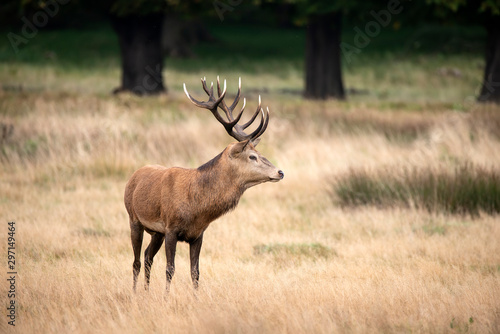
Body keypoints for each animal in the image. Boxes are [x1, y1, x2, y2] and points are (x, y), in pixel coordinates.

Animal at [123, 76, 284, 292]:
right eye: (252, 156)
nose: (280, 172)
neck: (197, 209)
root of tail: (134, 175)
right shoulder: (171, 228)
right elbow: (170, 269)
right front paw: (166, 297)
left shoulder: (198, 234)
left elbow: (195, 272)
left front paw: (195, 297)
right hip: (134, 218)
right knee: (137, 261)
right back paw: (135, 293)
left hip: (157, 232)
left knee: (148, 256)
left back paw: (147, 292)